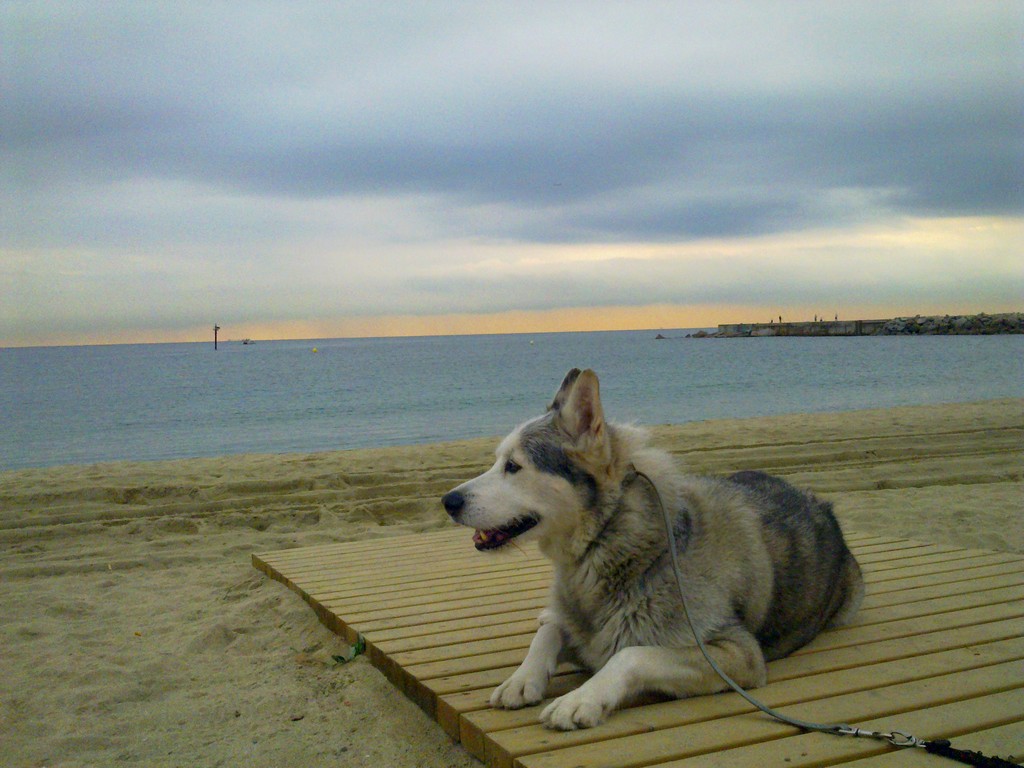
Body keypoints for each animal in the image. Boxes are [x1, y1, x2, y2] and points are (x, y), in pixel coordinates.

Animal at [440, 370, 864, 729]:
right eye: (499, 461)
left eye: (513, 466)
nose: (448, 501)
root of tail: (824, 506)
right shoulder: (582, 626)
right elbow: (550, 634)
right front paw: (522, 678)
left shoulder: (737, 653)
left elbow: (632, 654)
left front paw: (582, 698)